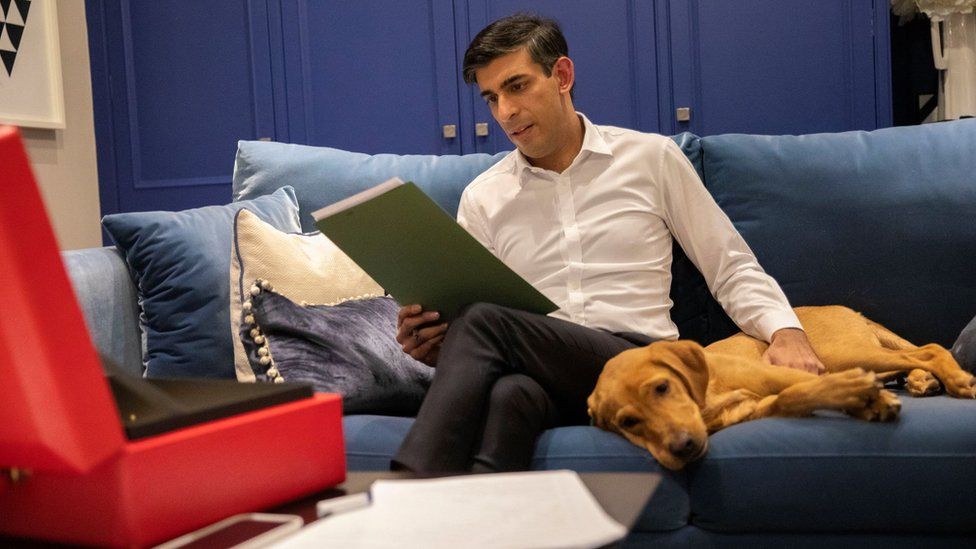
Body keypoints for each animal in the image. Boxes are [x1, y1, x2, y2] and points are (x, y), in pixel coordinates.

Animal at [588, 306, 976, 468]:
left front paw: (871, 402)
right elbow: (795, 396)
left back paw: (956, 380)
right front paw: (867, 402)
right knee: (911, 359)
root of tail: (847, 309)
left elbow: (803, 386)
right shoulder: (761, 406)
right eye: (628, 423)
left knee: (929, 349)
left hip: (844, 353)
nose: (683, 448)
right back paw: (922, 380)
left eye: (662, 388)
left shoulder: (779, 374)